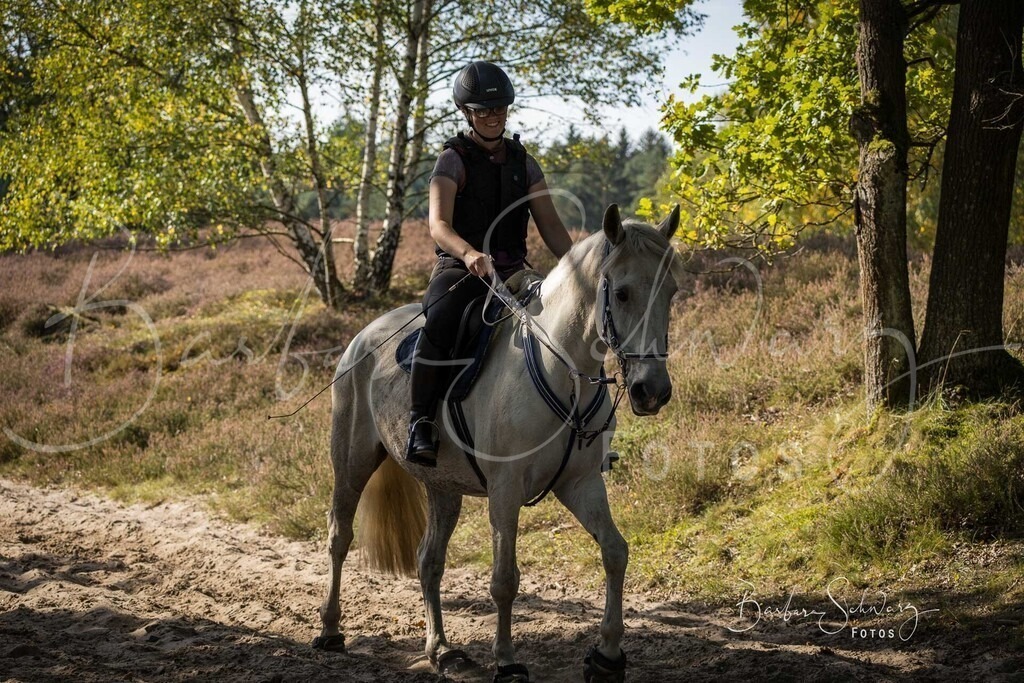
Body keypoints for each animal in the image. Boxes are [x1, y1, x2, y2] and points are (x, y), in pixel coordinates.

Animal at [313, 204, 683, 682]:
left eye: (671, 292)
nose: (651, 391)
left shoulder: (581, 484)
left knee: (428, 561)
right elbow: (504, 580)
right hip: (352, 462)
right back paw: (330, 630)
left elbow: (615, 552)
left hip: (443, 487)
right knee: (339, 537)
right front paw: (507, 661)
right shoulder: (505, 491)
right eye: (621, 294)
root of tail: (363, 336)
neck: (561, 370)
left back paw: (442, 650)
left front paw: (607, 656)